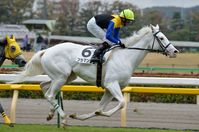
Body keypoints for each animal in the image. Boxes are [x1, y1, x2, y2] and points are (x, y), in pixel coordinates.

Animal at [8, 24, 178, 126]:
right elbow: (122, 103)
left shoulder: (109, 89)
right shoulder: (111, 84)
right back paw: (63, 118)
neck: (126, 56)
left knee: (45, 87)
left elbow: (100, 108)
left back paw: (51, 114)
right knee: (49, 94)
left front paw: (81, 116)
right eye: (161, 38)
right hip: (61, 76)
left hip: (67, 76)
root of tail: (46, 50)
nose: (175, 51)